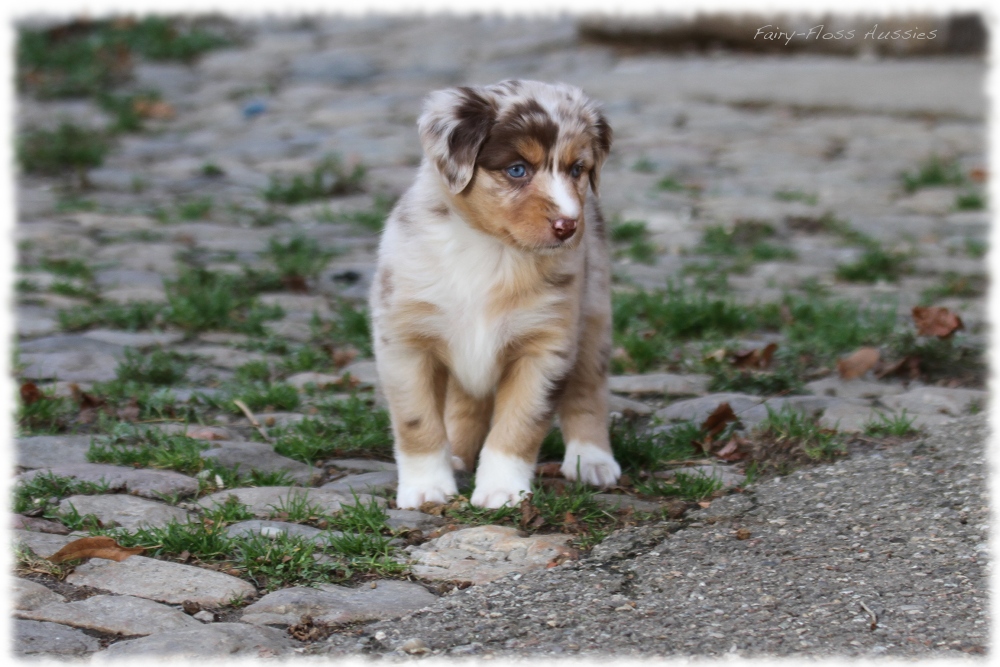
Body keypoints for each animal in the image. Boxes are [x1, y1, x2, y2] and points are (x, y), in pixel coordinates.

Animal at [370, 81, 616, 508]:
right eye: (517, 169)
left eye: (577, 169)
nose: (568, 225)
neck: (492, 251)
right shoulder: (405, 342)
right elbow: (417, 422)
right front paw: (427, 488)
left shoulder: (546, 347)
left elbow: (519, 424)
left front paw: (502, 490)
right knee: (465, 403)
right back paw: (456, 457)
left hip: (594, 315)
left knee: (588, 390)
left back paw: (593, 460)